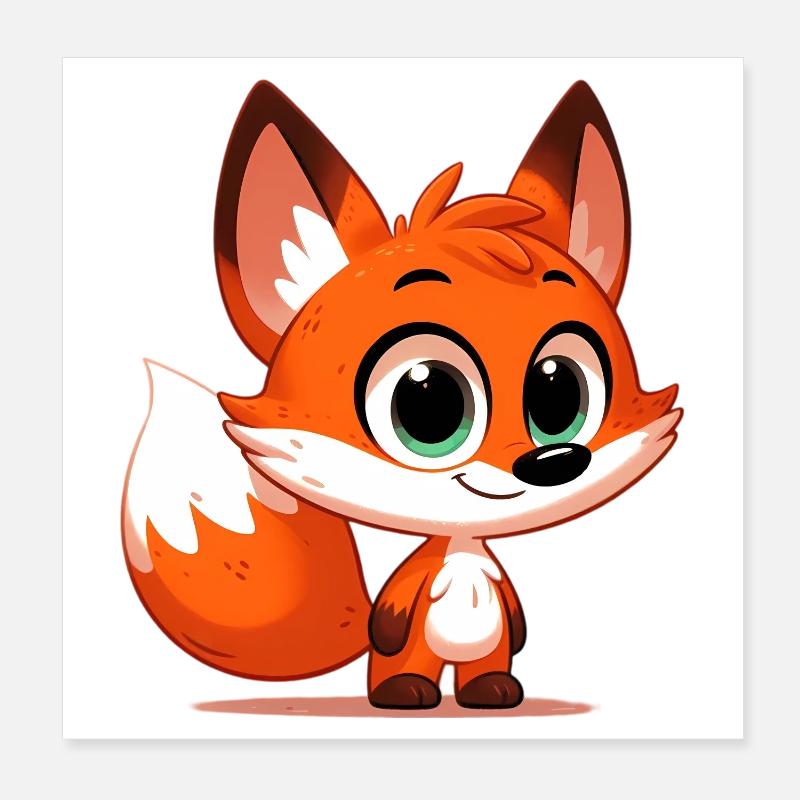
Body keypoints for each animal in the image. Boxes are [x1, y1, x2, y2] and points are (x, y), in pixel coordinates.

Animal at [122, 80, 681, 710]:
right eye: (430, 403)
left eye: (559, 391)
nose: (554, 460)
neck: (461, 546)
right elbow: (394, 613)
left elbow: (514, 618)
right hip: (411, 658)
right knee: (404, 667)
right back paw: (406, 692)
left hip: (484, 653)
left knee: (485, 666)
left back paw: (491, 690)